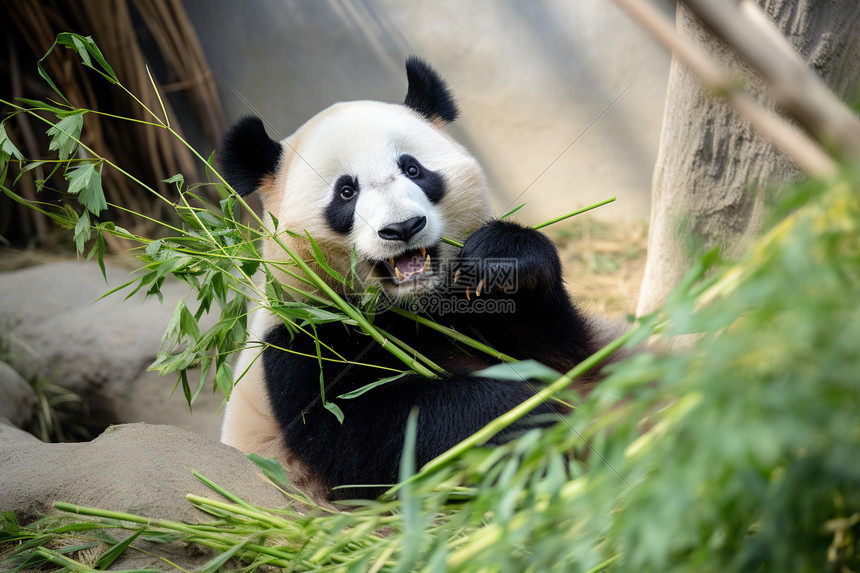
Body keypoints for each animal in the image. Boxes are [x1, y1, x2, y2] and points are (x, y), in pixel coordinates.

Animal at [218, 57, 600, 500]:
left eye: (413, 169)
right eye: (346, 192)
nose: (403, 227)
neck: (415, 304)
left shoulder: (472, 308)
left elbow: (561, 356)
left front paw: (503, 260)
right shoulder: (302, 340)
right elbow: (374, 431)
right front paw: (521, 417)